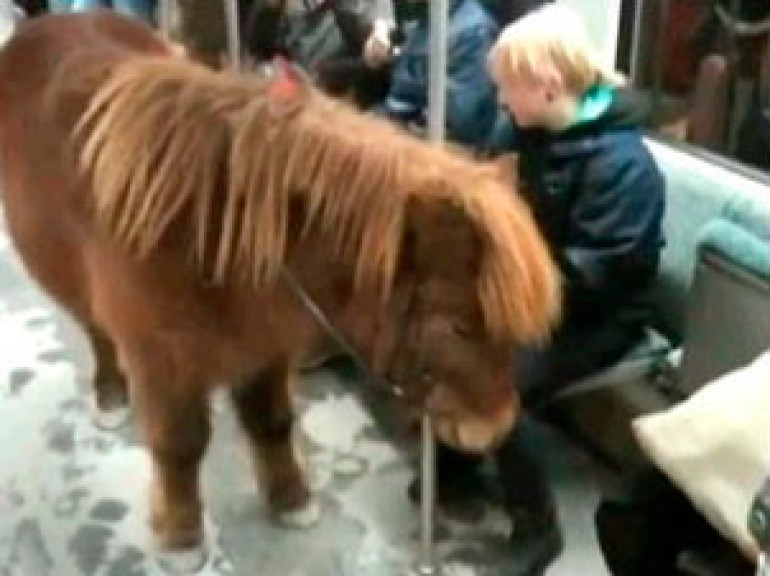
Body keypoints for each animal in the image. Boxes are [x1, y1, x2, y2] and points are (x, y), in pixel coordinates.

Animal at [0, 12, 561, 562]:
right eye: (458, 325)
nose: (498, 427)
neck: (208, 227)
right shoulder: (163, 362)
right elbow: (179, 445)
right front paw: (181, 535)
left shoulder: (265, 345)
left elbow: (272, 422)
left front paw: (290, 500)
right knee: (94, 329)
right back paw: (111, 394)